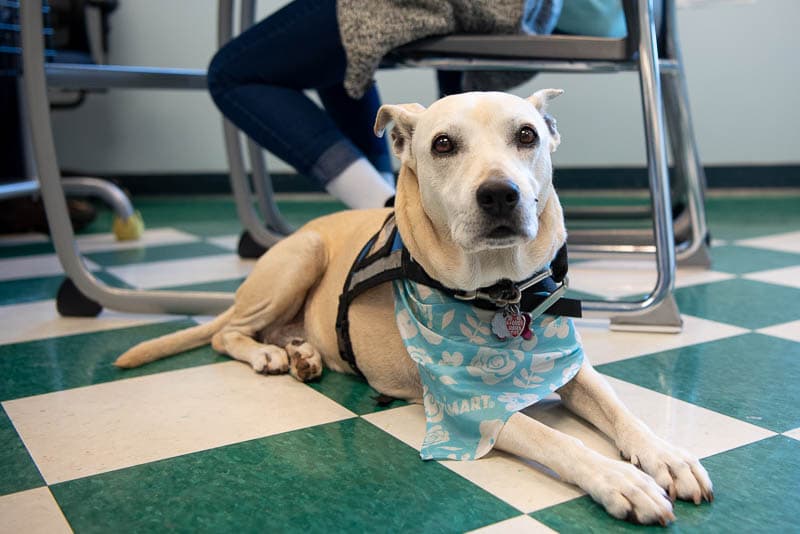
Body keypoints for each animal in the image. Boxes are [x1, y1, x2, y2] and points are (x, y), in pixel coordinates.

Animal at [114, 91, 712, 528]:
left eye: (527, 135)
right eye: (443, 144)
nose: (500, 194)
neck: (500, 293)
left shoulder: (566, 363)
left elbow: (621, 411)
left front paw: (666, 456)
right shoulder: (468, 407)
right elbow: (555, 438)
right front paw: (622, 481)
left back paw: (303, 353)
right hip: (299, 260)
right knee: (227, 334)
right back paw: (267, 356)